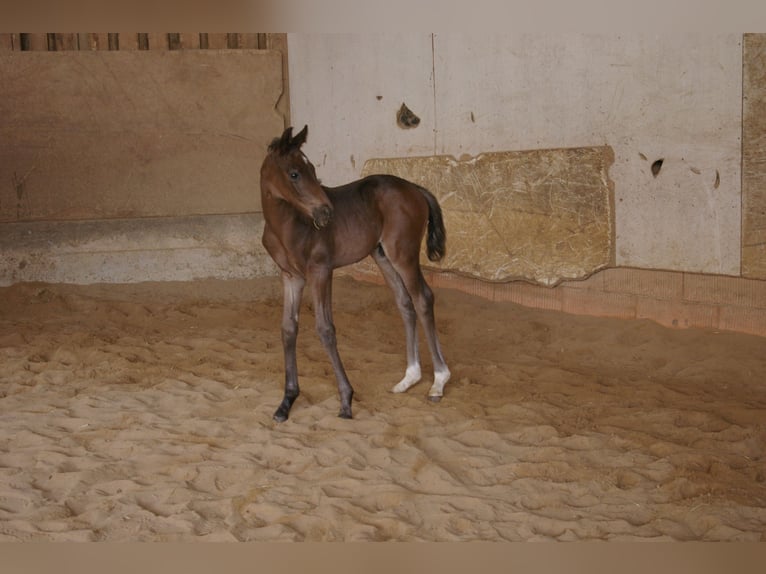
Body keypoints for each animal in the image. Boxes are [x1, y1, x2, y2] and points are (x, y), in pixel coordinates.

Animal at [260, 125, 451, 421]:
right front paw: (286, 401)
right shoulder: (291, 277)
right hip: (382, 256)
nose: (326, 212)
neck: (287, 226)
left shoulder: (321, 271)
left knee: (423, 299)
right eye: (294, 173)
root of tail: (415, 188)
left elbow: (325, 329)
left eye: (312, 169)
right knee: (405, 303)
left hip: (403, 255)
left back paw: (438, 382)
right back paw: (409, 378)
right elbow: (288, 328)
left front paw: (346, 400)